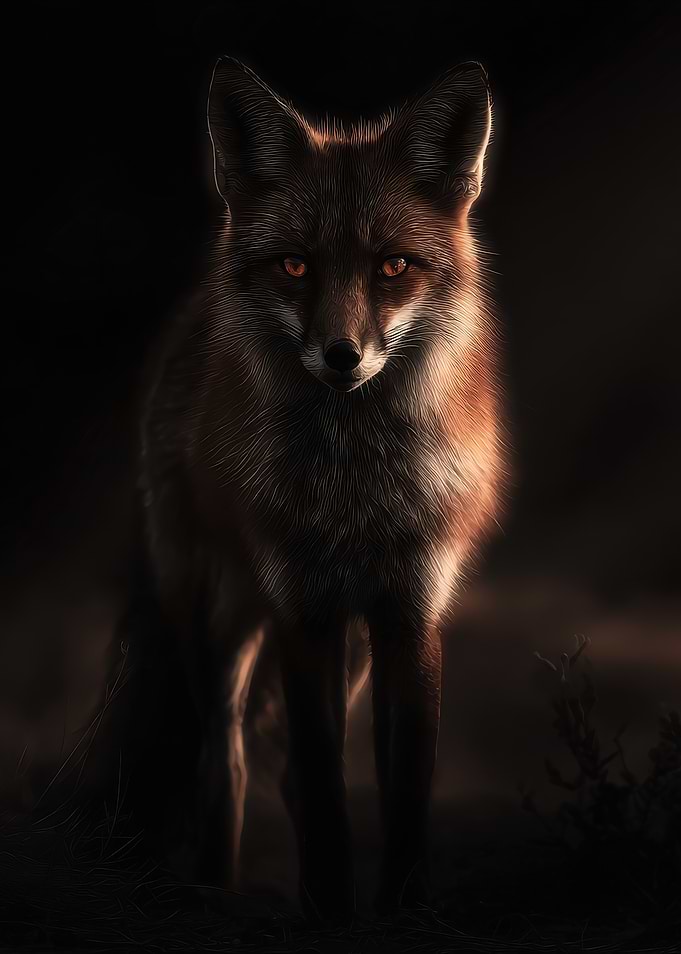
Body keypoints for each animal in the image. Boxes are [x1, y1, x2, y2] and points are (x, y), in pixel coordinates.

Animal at [139, 56, 506, 920]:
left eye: (392, 265)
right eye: (295, 264)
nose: (342, 356)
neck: (354, 500)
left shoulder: (408, 613)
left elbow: (401, 789)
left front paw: (400, 909)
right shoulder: (300, 610)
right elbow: (324, 784)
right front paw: (332, 905)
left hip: (349, 649)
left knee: (280, 773)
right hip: (215, 622)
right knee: (226, 758)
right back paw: (215, 888)